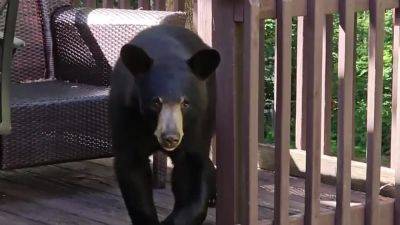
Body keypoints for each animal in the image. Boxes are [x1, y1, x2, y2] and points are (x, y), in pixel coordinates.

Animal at [109, 24, 220, 225]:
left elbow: (191, 168)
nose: (170, 138)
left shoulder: (196, 122)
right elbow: (131, 168)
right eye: (156, 102)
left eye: (185, 103)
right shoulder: (126, 116)